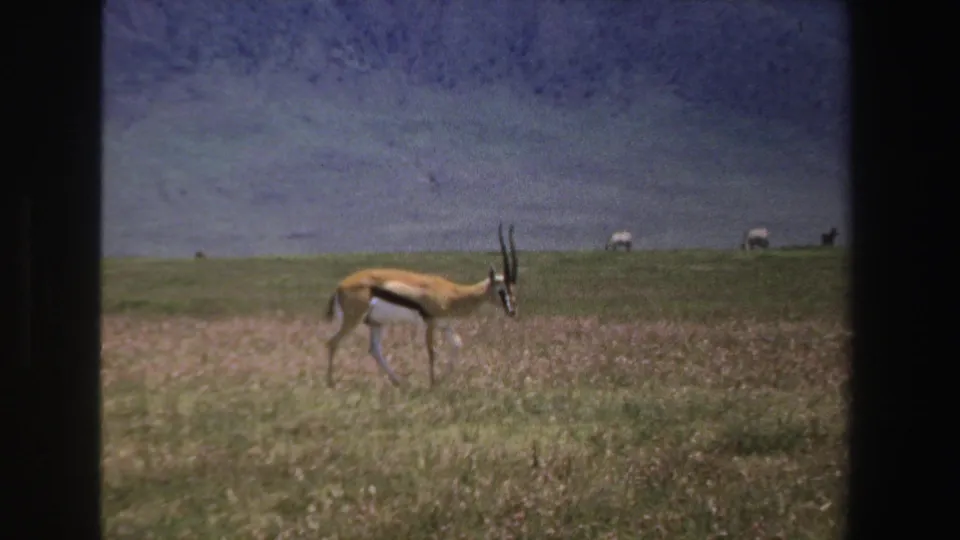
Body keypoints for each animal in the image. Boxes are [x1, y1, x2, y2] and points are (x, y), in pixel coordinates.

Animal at [323, 223, 519, 388]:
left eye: (513, 289)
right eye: (501, 290)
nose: (512, 311)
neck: (452, 294)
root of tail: (340, 286)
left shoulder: (445, 325)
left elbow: (457, 344)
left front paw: (443, 380)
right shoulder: (430, 323)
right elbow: (432, 352)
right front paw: (433, 384)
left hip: (376, 323)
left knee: (374, 350)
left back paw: (399, 382)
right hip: (353, 320)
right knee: (332, 342)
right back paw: (331, 384)